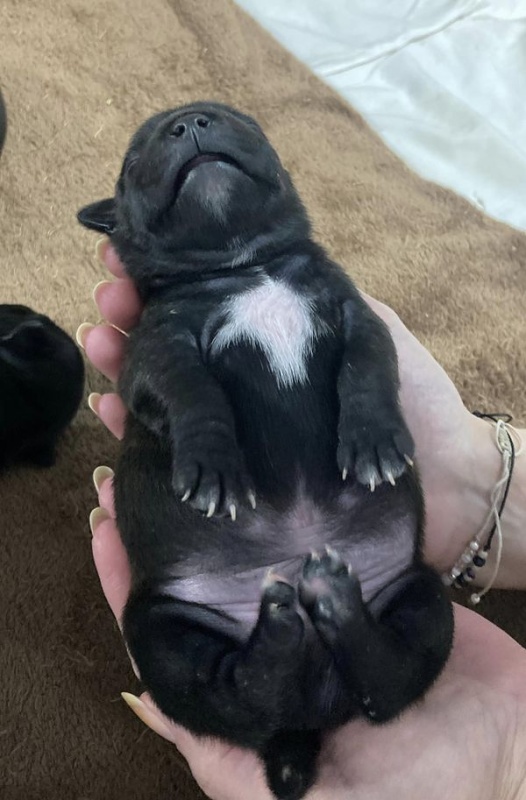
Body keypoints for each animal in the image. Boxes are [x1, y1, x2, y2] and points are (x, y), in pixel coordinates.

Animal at [78, 102, 454, 800]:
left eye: (236, 119)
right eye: (133, 159)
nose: (190, 123)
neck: (246, 268)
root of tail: (309, 713)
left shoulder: (356, 313)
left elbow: (368, 368)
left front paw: (374, 440)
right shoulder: (158, 347)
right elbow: (193, 390)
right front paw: (215, 467)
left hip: (422, 597)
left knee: (390, 680)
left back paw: (332, 603)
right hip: (159, 631)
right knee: (233, 691)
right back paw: (280, 633)